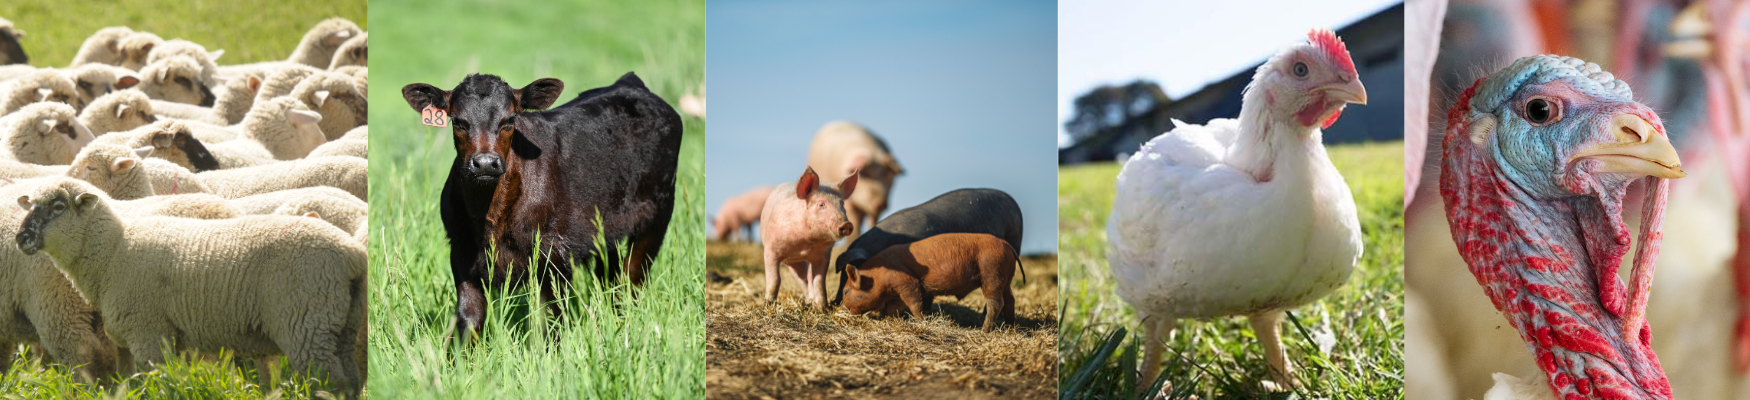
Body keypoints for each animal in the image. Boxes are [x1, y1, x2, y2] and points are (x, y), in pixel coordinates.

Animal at [13, 178, 367, 396]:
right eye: (30, 205)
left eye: (58, 206)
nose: (21, 238)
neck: (112, 253)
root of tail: (352, 256)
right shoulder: (138, 339)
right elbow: (135, 382)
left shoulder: (148, 332)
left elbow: (156, 382)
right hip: (340, 324)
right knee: (350, 380)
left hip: (306, 322)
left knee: (330, 383)